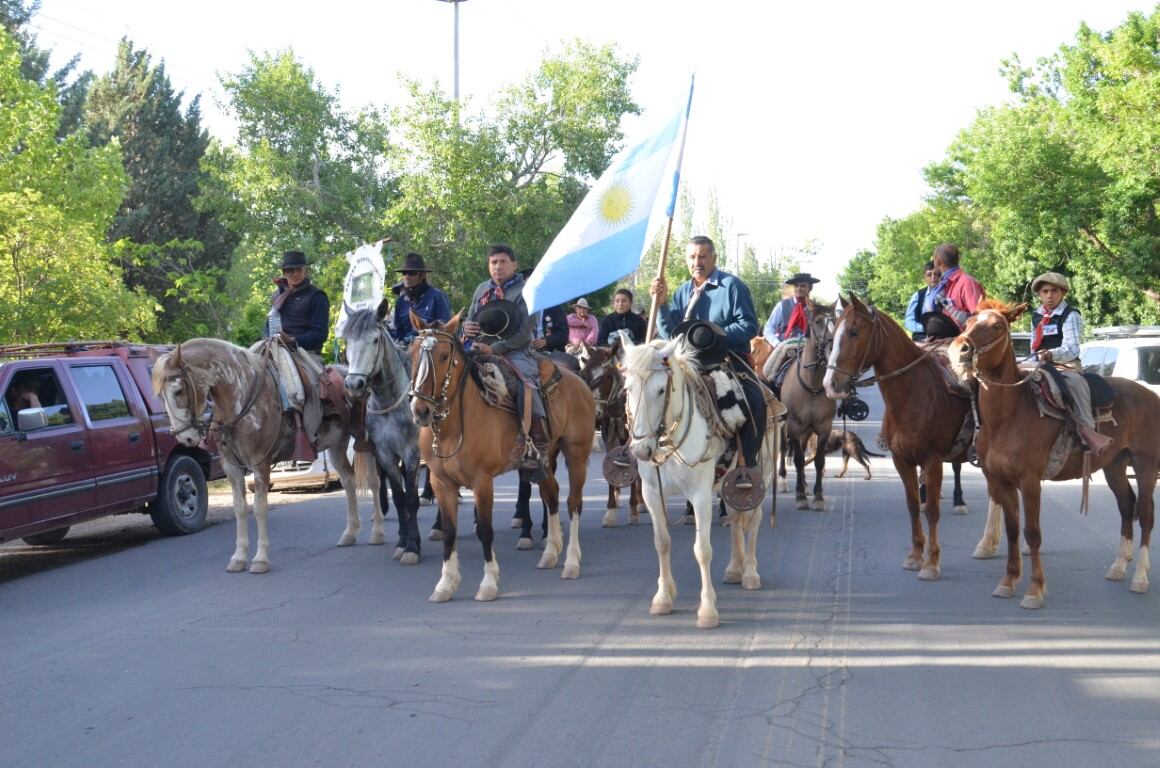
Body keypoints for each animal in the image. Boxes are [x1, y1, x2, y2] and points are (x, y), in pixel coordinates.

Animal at [410, 313, 593, 603]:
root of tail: (578, 380)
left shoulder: (482, 482)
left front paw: (488, 583)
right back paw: (550, 552)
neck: (455, 425)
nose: (421, 410)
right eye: (412, 353)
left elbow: (485, 530)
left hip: (576, 453)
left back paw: (572, 562)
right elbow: (449, 531)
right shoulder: (441, 482)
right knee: (551, 494)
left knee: (573, 503)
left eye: (443, 356)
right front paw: (446, 583)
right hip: (544, 459)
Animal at [573, 343, 644, 529]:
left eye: (606, 376)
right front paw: (610, 511)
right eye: (584, 374)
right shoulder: (608, 436)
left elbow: (633, 470)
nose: (594, 411)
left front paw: (633, 510)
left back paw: (641, 502)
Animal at [621, 341, 774, 631]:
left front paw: (707, 610)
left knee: (754, 518)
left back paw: (750, 572)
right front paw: (663, 597)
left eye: (661, 389)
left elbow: (702, 550)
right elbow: (662, 542)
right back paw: (734, 569)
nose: (641, 450)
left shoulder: (700, 495)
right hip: (728, 480)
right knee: (735, 517)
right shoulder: (652, 494)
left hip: (760, 473)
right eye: (628, 387)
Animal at [821, 296, 992, 580]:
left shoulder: (933, 461)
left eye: (854, 332)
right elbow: (912, 505)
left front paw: (931, 563)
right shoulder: (902, 461)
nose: (830, 384)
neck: (913, 394)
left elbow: (932, 510)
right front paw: (914, 556)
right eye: (833, 335)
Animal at [946, 301, 1155, 607]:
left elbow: (1032, 533)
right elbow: (1012, 529)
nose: (959, 349)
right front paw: (1008, 581)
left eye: (997, 326)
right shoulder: (1000, 480)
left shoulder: (1030, 482)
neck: (1008, 416)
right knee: (1126, 506)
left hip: (1146, 465)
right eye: (969, 322)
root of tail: (1151, 395)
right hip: (1115, 465)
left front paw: (1034, 590)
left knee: (1146, 513)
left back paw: (1140, 578)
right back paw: (1117, 567)